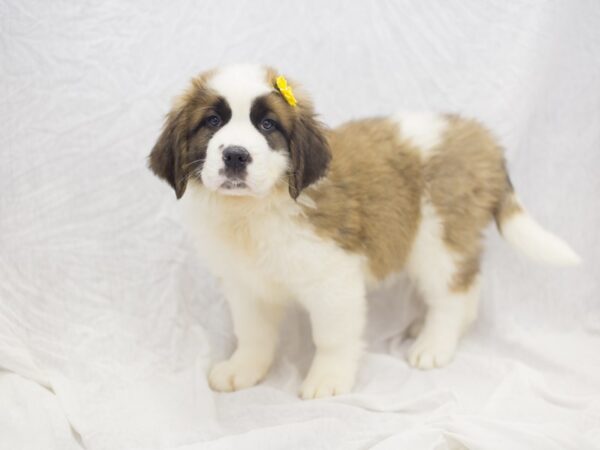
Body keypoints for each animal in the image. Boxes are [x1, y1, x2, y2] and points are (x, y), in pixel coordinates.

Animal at [148, 65, 580, 400]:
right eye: (212, 122)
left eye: (268, 125)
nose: (236, 155)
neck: (258, 208)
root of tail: (480, 137)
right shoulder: (246, 284)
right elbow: (253, 333)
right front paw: (243, 369)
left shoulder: (333, 279)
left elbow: (332, 337)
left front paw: (328, 379)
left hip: (438, 236)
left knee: (455, 292)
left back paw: (435, 343)